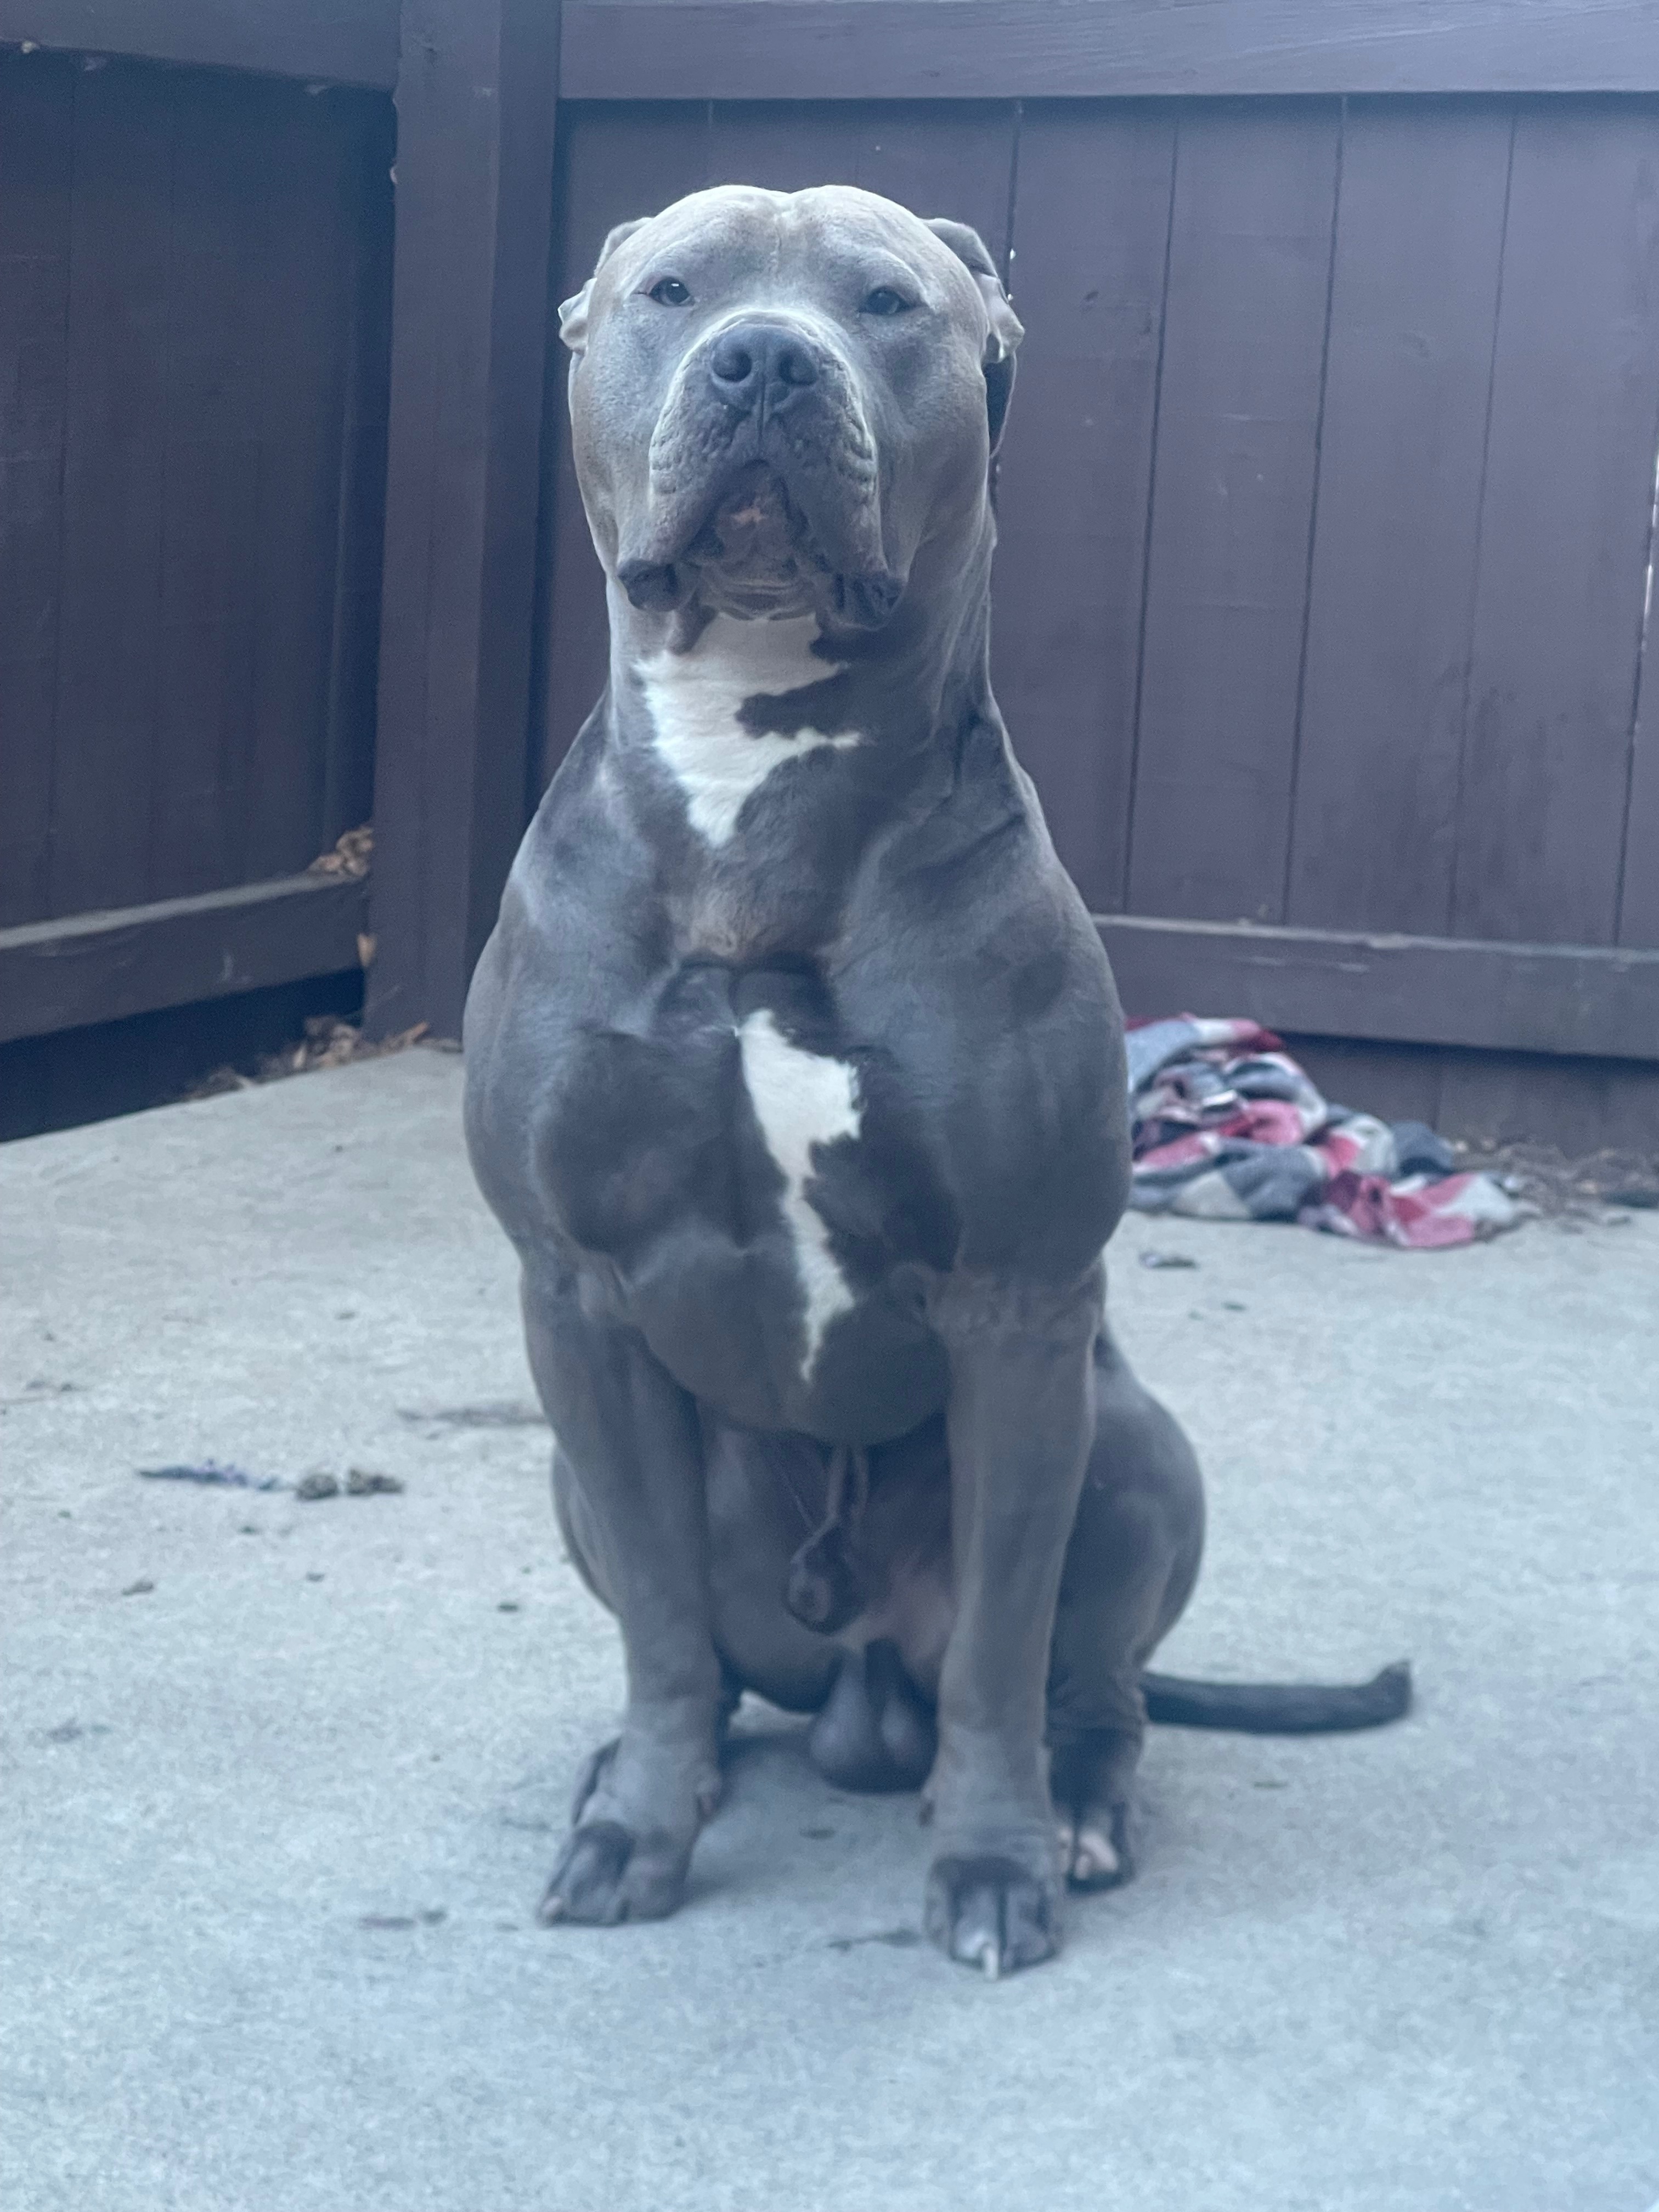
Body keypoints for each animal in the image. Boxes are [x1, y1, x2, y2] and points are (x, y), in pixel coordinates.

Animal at [463, 185, 1408, 1976]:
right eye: (672, 288)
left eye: (890, 304)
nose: (764, 357)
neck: (748, 785)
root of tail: (848, 1677)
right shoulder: (578, 1297)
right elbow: (665, 1642)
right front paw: (639, 1828)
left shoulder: (1019, 1311)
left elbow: (999, 1656)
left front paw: (991, 1865)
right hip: (579, 1473)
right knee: (708, 1655)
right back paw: (649, 1770)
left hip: (1133, 1449)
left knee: (1087, 1683)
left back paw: (1081, 1807)